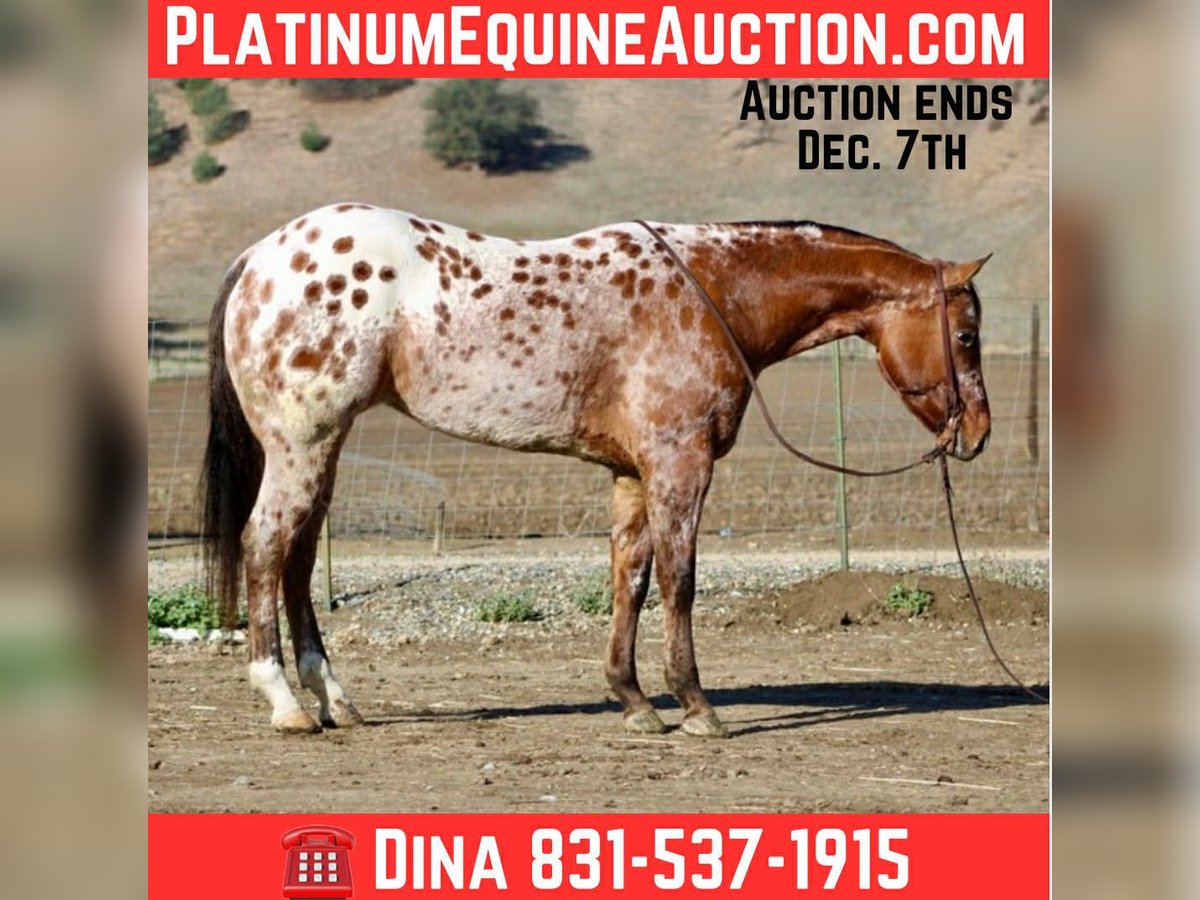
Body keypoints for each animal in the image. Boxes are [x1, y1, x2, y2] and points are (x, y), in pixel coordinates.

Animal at [202, 204, 992, 739]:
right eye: (965, 334)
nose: (978, 434)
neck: (714, 292)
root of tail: (260, 257)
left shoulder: (633, 473)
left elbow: (630, 579)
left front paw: (635, 701)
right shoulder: (679, 462)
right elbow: (679, 578)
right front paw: (696, 706)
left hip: (321, 447)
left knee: (299, 557)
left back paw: (336, 700)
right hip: (302, 443)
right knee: (265, 547)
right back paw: (286, 703)